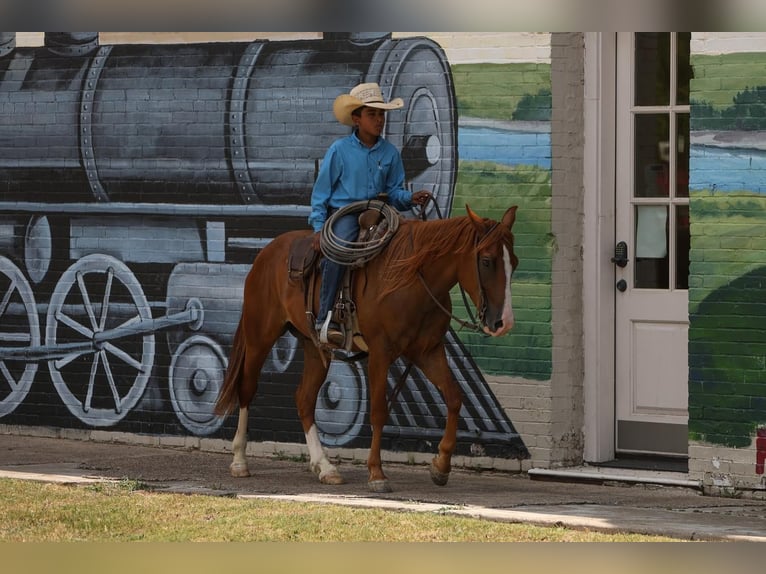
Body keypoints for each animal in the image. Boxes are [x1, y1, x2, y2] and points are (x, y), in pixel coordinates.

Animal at [213, 206, 520, 496]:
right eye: (486, 260)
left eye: (514, 262)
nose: (503, 323)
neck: (413, 279)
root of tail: (267, 252)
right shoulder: (381, 353)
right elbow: (378, 412)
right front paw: (377, 475)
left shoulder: (428, 351)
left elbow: (454, 397)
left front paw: (441, 466)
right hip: (259, 337)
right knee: (246, 389)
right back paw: (239, 461)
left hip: (314, 347)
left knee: (304, 399)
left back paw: (325, 467)